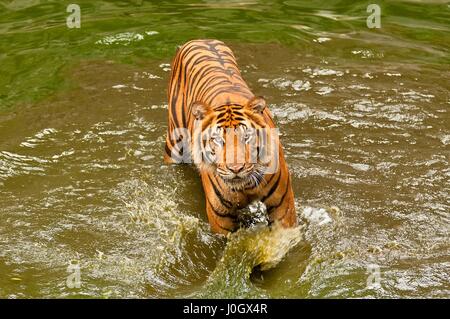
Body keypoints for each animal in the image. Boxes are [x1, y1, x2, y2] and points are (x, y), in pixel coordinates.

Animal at [163, 39, 298, 235]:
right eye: (218, 140)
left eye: (247, 137)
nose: (236, 169)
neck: (246, 187)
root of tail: (200, 39)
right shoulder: (220, 217)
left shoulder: (283, 206)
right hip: (173, 147)